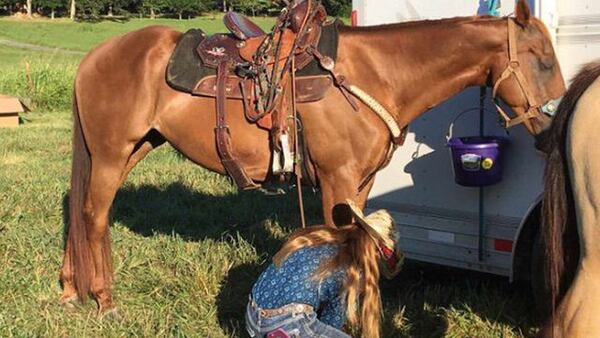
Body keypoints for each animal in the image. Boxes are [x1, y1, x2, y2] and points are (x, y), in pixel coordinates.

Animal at [63, 0, 564, 312]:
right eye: (541, 58)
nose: (552, 131)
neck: (376, 74)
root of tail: (93, 56)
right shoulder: (336, 180)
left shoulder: (360, 184)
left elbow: (364, 249)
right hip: (111, 153)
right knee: (93, 215)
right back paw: (103, 298)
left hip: (131, 148)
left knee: (78, 211)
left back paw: (71, 290)